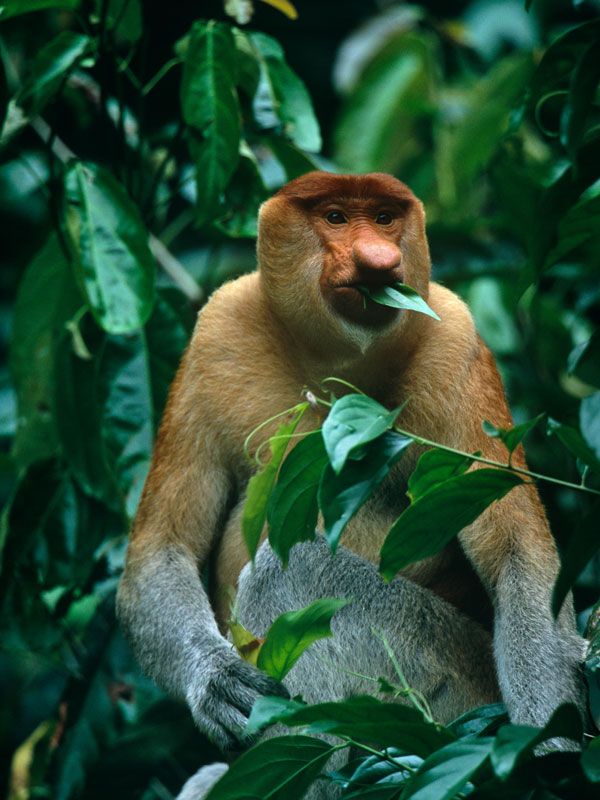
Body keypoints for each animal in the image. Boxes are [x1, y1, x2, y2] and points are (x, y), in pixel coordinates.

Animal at [116, 172, 587, 799]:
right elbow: (161, 552)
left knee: (291, 572)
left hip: (447, 687)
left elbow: (517, 557)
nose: (378, 260)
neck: (334, 360)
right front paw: (215, 683)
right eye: (336, 217)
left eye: (385, 218)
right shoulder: (216, 334)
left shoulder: (456, 343)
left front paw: (549, 757)